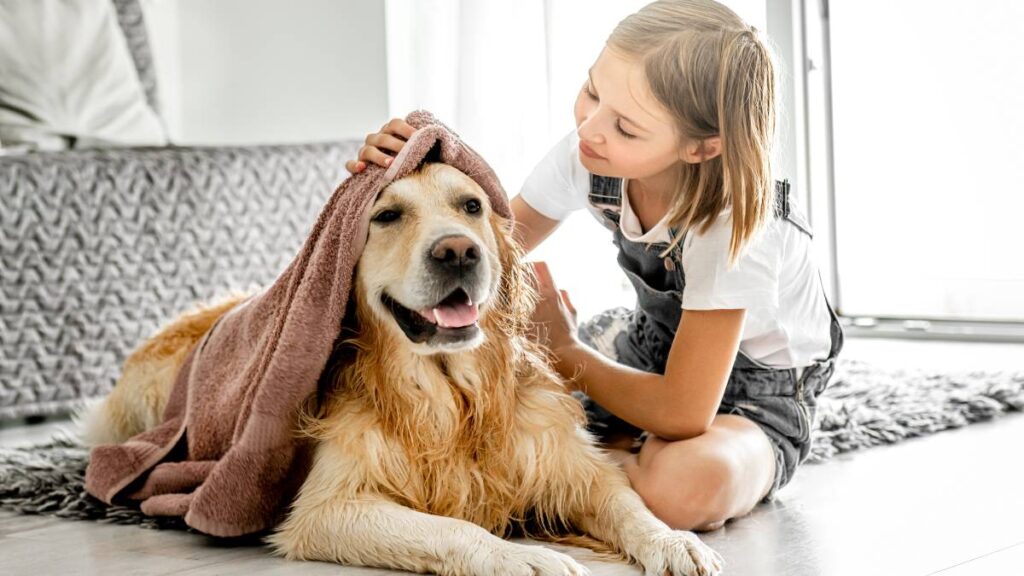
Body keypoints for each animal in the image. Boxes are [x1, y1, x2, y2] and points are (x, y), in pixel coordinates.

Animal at [77, 162, 720, 573]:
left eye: (471, 205)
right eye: (386, 216)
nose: (458, 251)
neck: (452, 394)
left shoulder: (569, 465)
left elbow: (629, 505)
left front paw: (674, 542)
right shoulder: (329, 506)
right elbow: (452, 527)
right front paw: (523, 556)